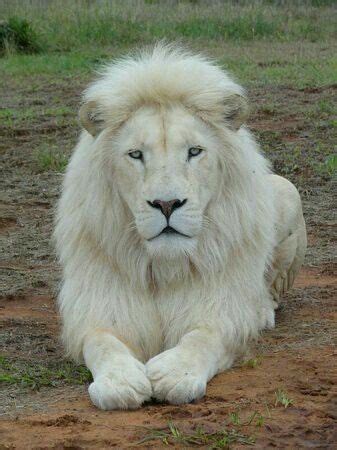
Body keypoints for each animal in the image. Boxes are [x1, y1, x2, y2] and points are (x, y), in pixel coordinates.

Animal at [53, 44, 306, 410]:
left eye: (194, 151)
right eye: (136, 154)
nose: (167, 204)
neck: (163, 265)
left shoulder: (218, 306)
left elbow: (205, 336)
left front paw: (175, 374)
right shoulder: (102, 307)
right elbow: (102, 341)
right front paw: (119, 382)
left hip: (288, 192)